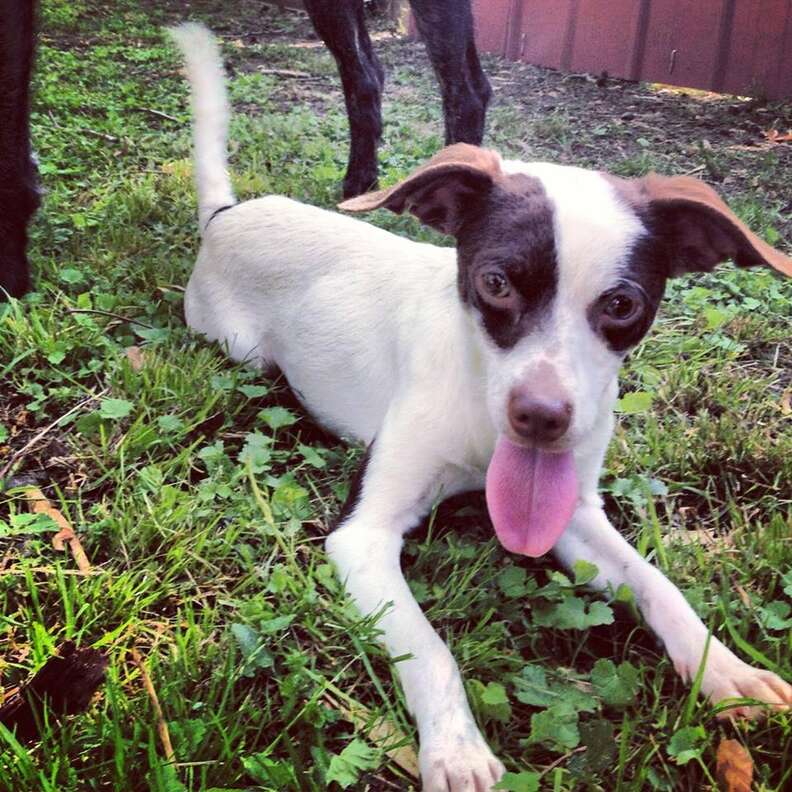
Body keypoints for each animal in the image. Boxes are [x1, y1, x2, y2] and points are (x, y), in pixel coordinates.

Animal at [172, 21, 792, 788]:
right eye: (495, 282)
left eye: (622, 305)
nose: (542, 418)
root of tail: (230, 215)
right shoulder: (362, 536)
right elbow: (432, 650)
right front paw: (457, 749)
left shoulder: (575, 515)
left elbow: (656, 583)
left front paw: (724, 668)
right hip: (238, 348)